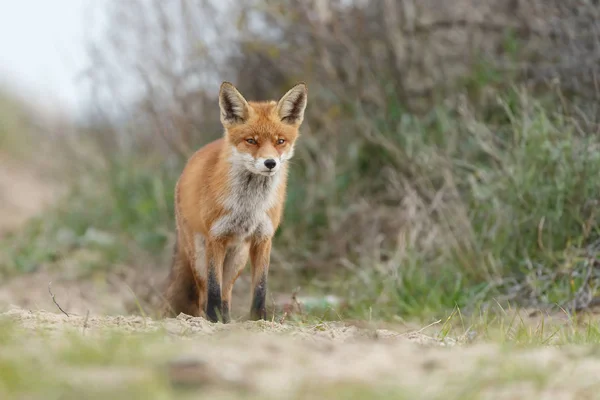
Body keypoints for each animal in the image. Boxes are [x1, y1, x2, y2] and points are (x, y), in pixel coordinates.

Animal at [162, 81, 308, 322]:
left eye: (280, 141)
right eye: (251, 141)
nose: (270, 163)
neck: (249, 206)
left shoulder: (263, 238)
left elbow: (260, 288)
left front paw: (259, 320)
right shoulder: (216, 238)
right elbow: (213, 289)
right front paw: (213, 320)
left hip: (237, 258)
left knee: (227, 293)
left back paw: (227, 320)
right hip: (200, 256)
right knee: (204, 294)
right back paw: (208, 320)